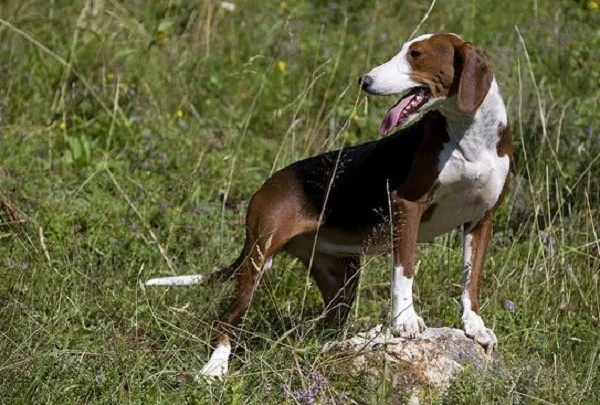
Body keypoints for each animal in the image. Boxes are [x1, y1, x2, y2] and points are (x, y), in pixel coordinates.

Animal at [144, 31, 510, 376]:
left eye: (415, 55)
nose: (365, 80)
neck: (470, 138)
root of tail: (267, 185)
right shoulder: (407, 206)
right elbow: (404, 271)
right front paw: (405, 320)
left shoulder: (481, 220)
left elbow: (471, 279)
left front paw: (473, 325)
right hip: (259, 259)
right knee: (228, 321)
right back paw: (215, 369)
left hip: (342, 277)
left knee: (327, 326)